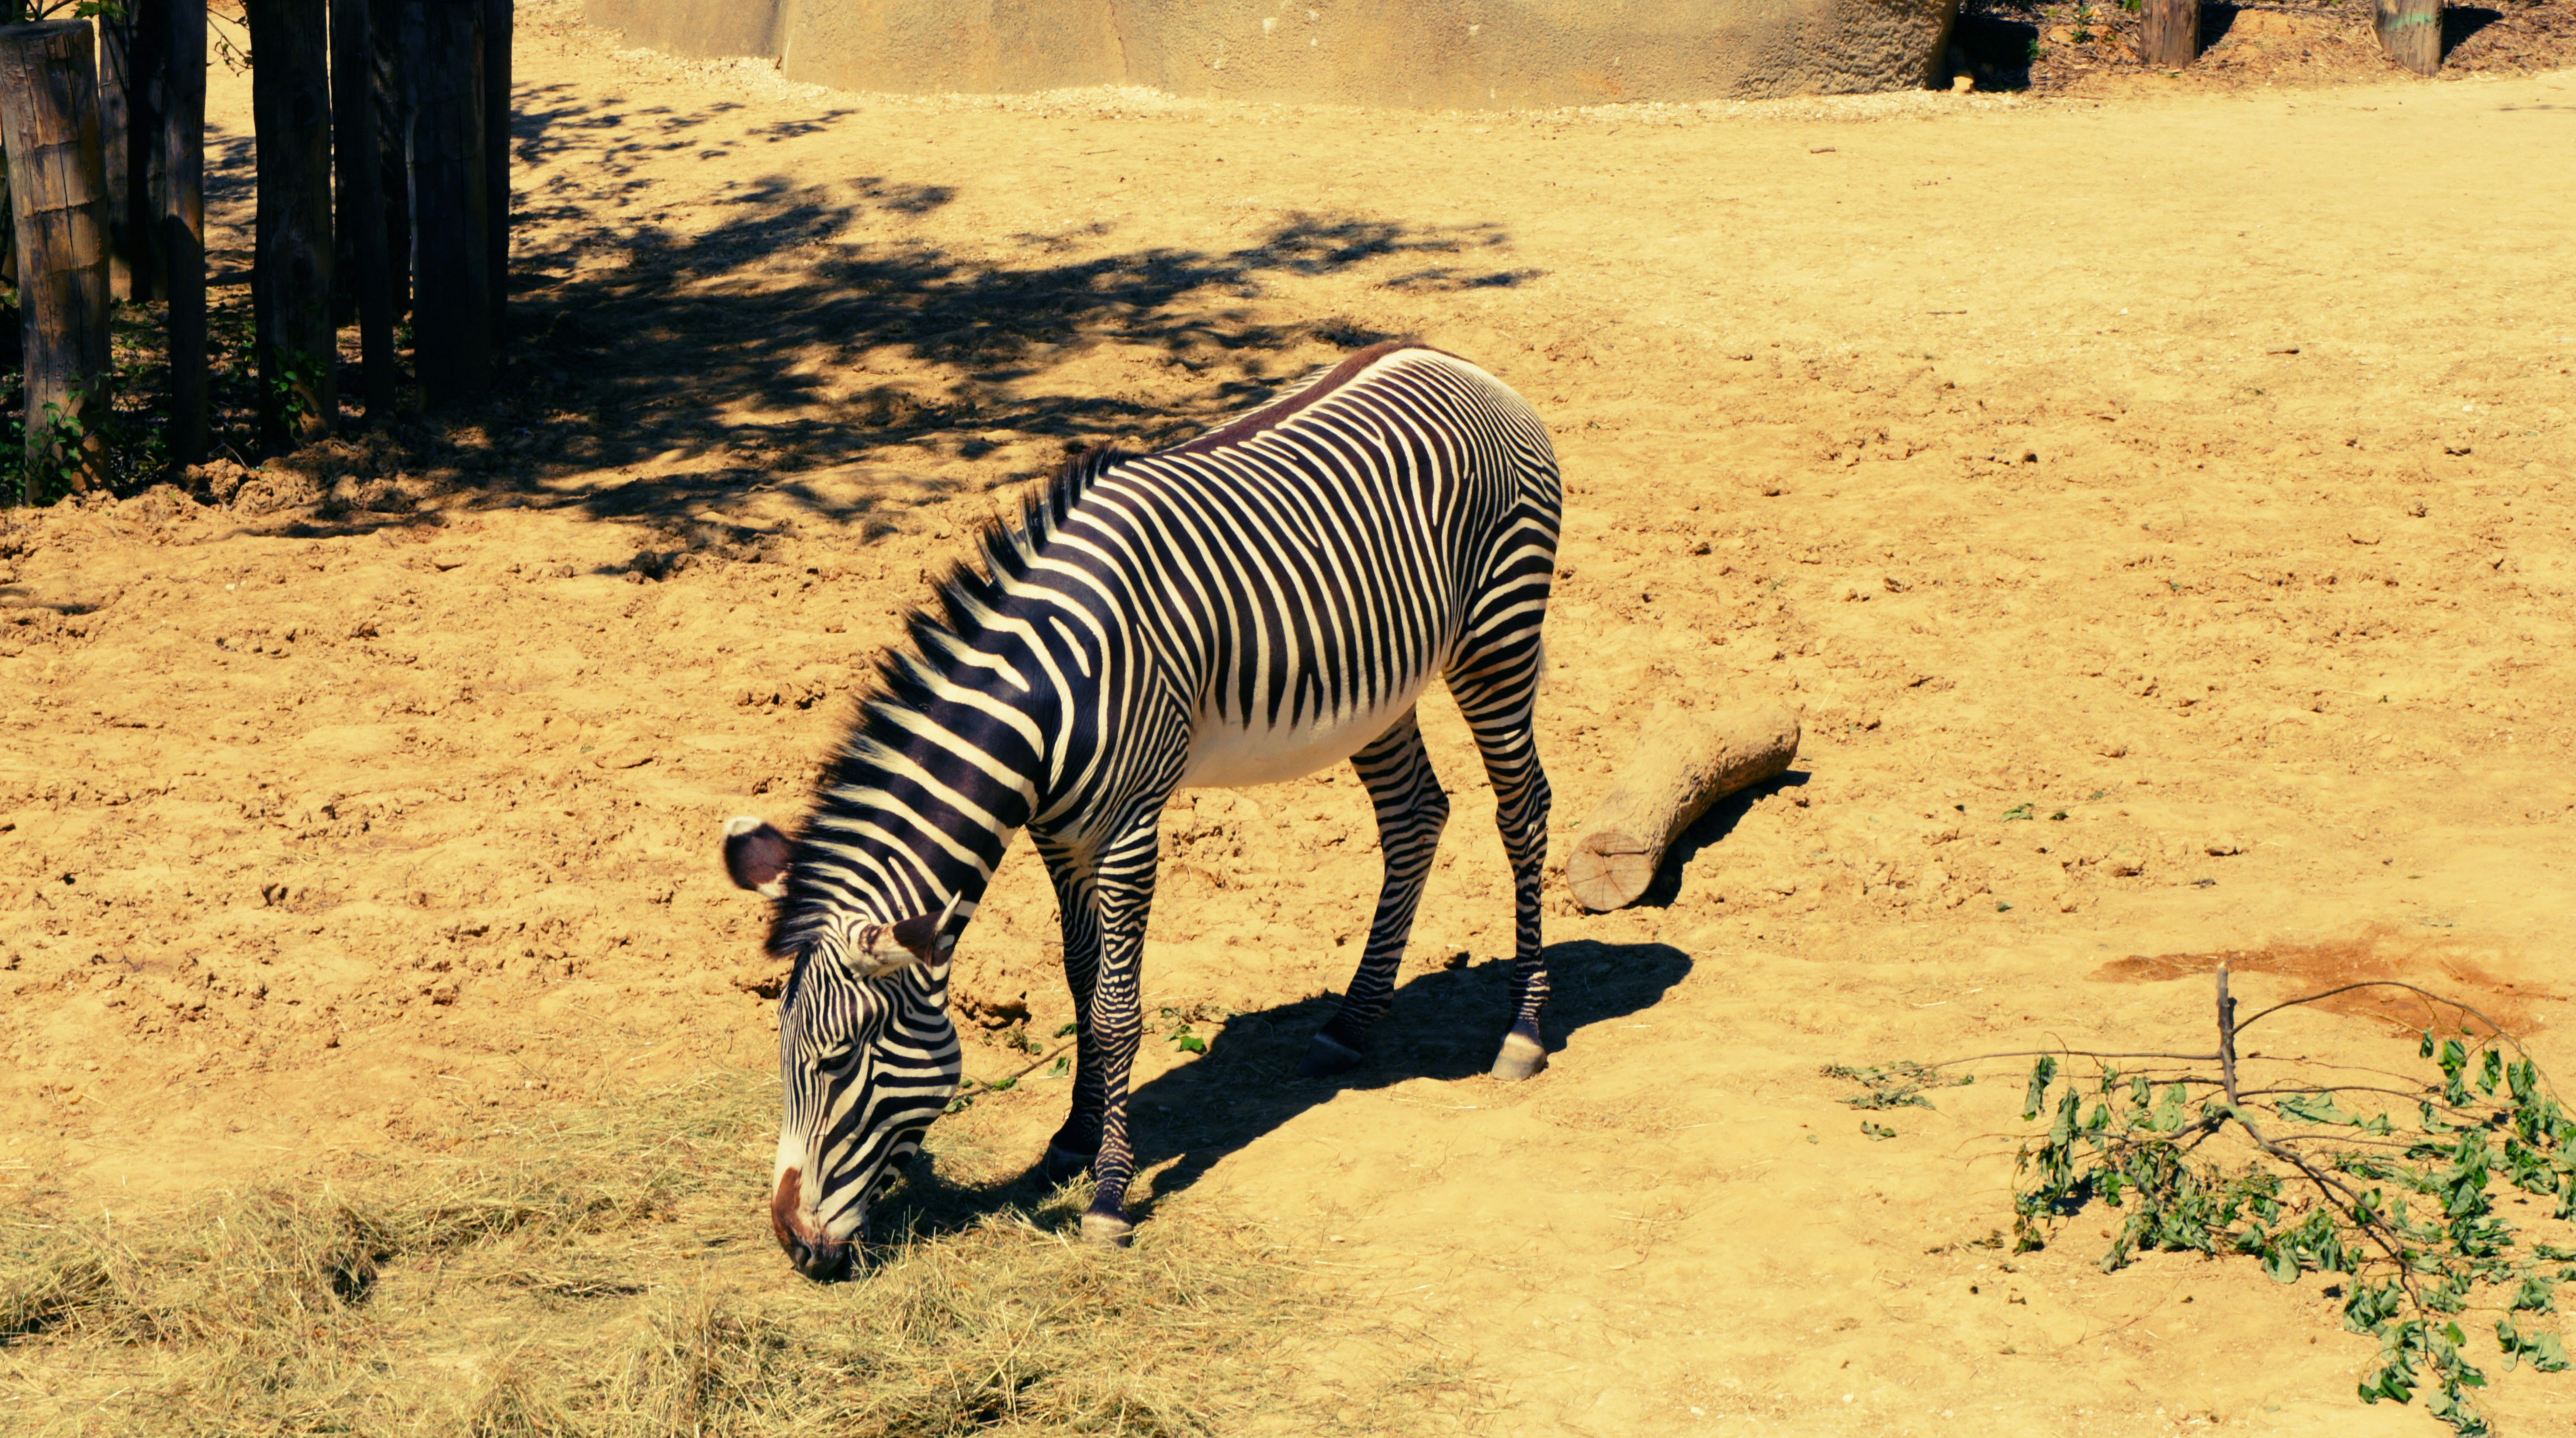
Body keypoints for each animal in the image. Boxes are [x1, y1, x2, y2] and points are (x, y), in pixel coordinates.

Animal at [722, 341, 1561, 1277]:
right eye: (781, 1051)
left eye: (837, 1062)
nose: (795, 1247)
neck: (1044, 701)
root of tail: (1456, 363)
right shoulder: (1059, 834)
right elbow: (1081, 979)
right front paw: (1073, 1136)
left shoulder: (1129, 827)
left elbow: (1118, 1010)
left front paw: (1110, 1194)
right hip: (1380, 689)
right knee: (1415, 814)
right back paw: (1350, 1025)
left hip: (1498, 636)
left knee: (1523, 811)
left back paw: (1522, 1029)